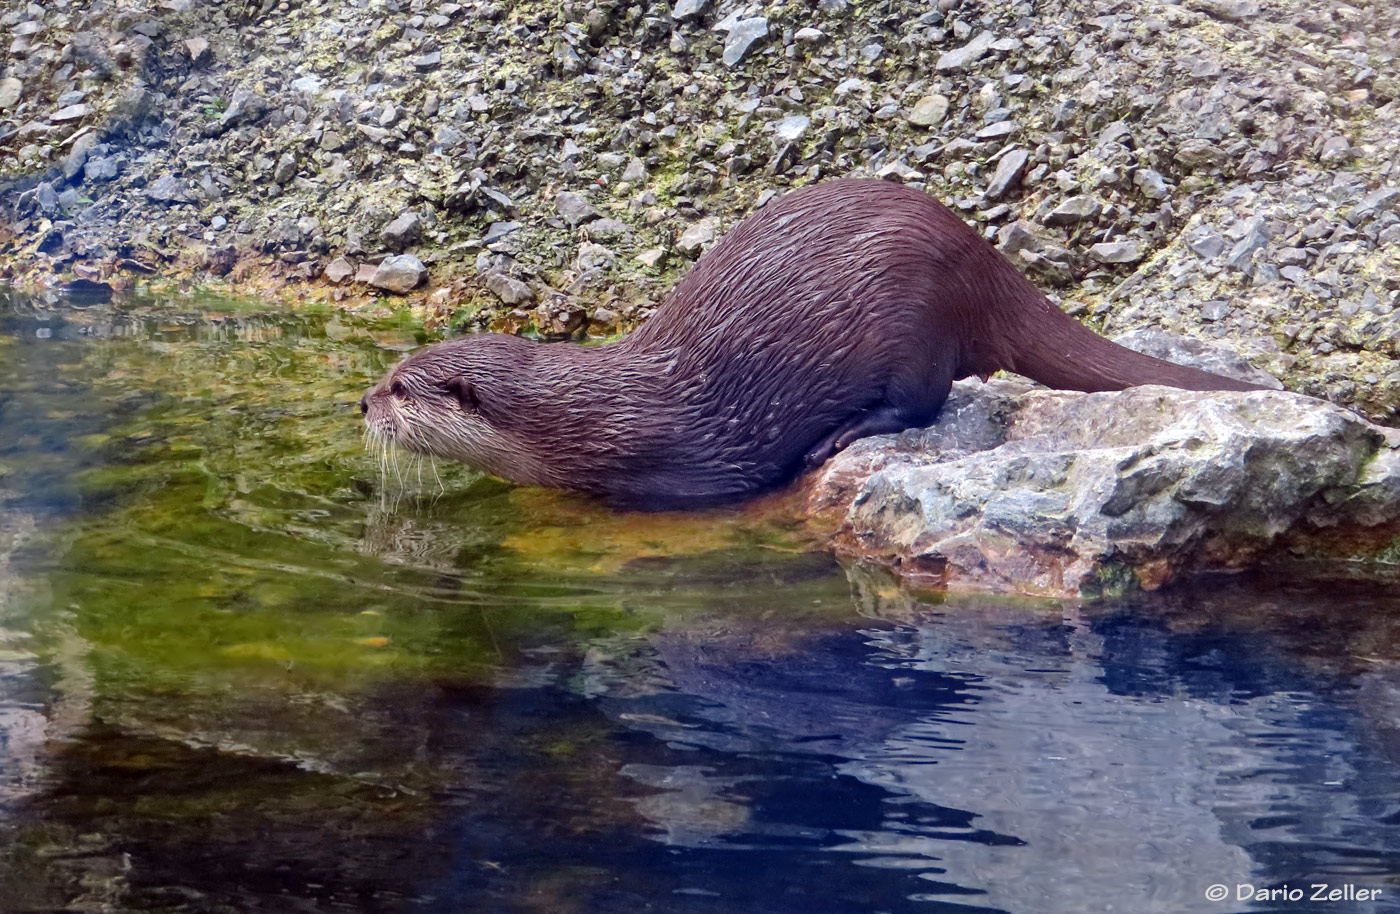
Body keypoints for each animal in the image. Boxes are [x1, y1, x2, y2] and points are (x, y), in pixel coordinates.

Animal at [364, 178, 1271, 506]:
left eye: (404, 386)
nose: (363, 402)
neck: (587, 418)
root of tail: (980, 255)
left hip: (916, 317)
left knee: (926, 402)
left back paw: (840, 436)